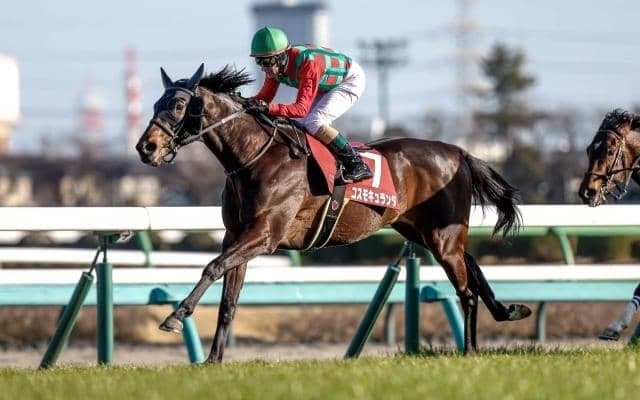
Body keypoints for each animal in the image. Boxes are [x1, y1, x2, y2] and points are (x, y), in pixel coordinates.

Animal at [136, 64, 532, 361]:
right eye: (155, 103)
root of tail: (459, 152)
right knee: (473, 270)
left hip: (442, 236)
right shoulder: (237, 235)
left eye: (178, 105)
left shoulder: (265, 234)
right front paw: (213, 360)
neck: (255, 157)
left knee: (466, 290)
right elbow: (228, 300)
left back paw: (470, 351)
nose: (145, 147)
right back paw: (500, 318)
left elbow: (212, 267)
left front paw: (175, 316)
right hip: (423, 231)